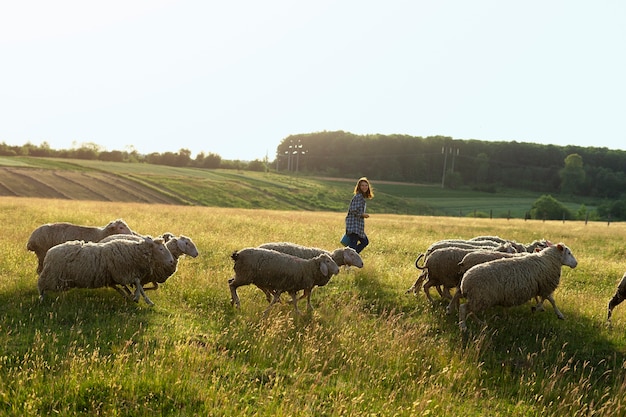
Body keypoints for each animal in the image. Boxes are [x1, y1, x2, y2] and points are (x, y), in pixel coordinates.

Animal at [36, 234, 174, 306]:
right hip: (51, 276)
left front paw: (136, 297)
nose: (172, 261)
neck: (135, 252)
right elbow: (138, 283)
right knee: (41, 287)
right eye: (161, 249)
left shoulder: (124, 274)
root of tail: (49, 253)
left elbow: (137, 283)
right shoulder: (123, 273)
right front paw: (142, 299)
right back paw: (41, 300)